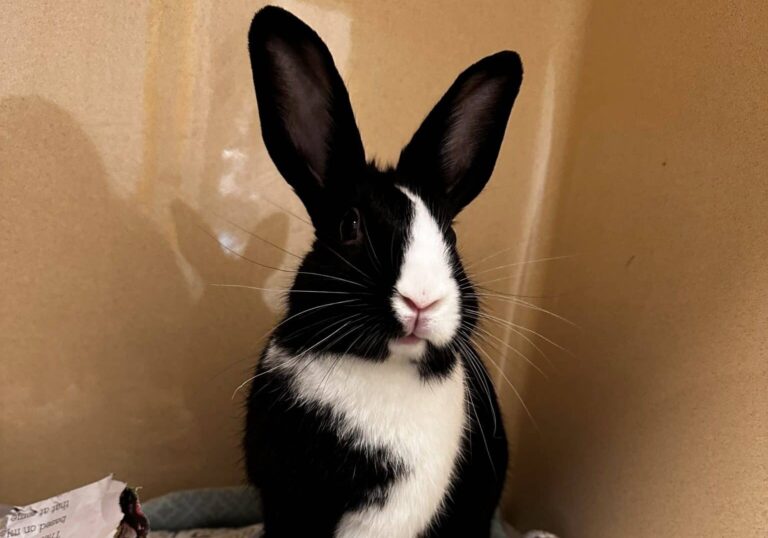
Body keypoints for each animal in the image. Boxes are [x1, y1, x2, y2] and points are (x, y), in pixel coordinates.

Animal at [243, 5, 524, 536]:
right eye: (349, 226)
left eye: (451, 236)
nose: (422, 301)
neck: (377, 368)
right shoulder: (284, 496)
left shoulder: (387, 513)